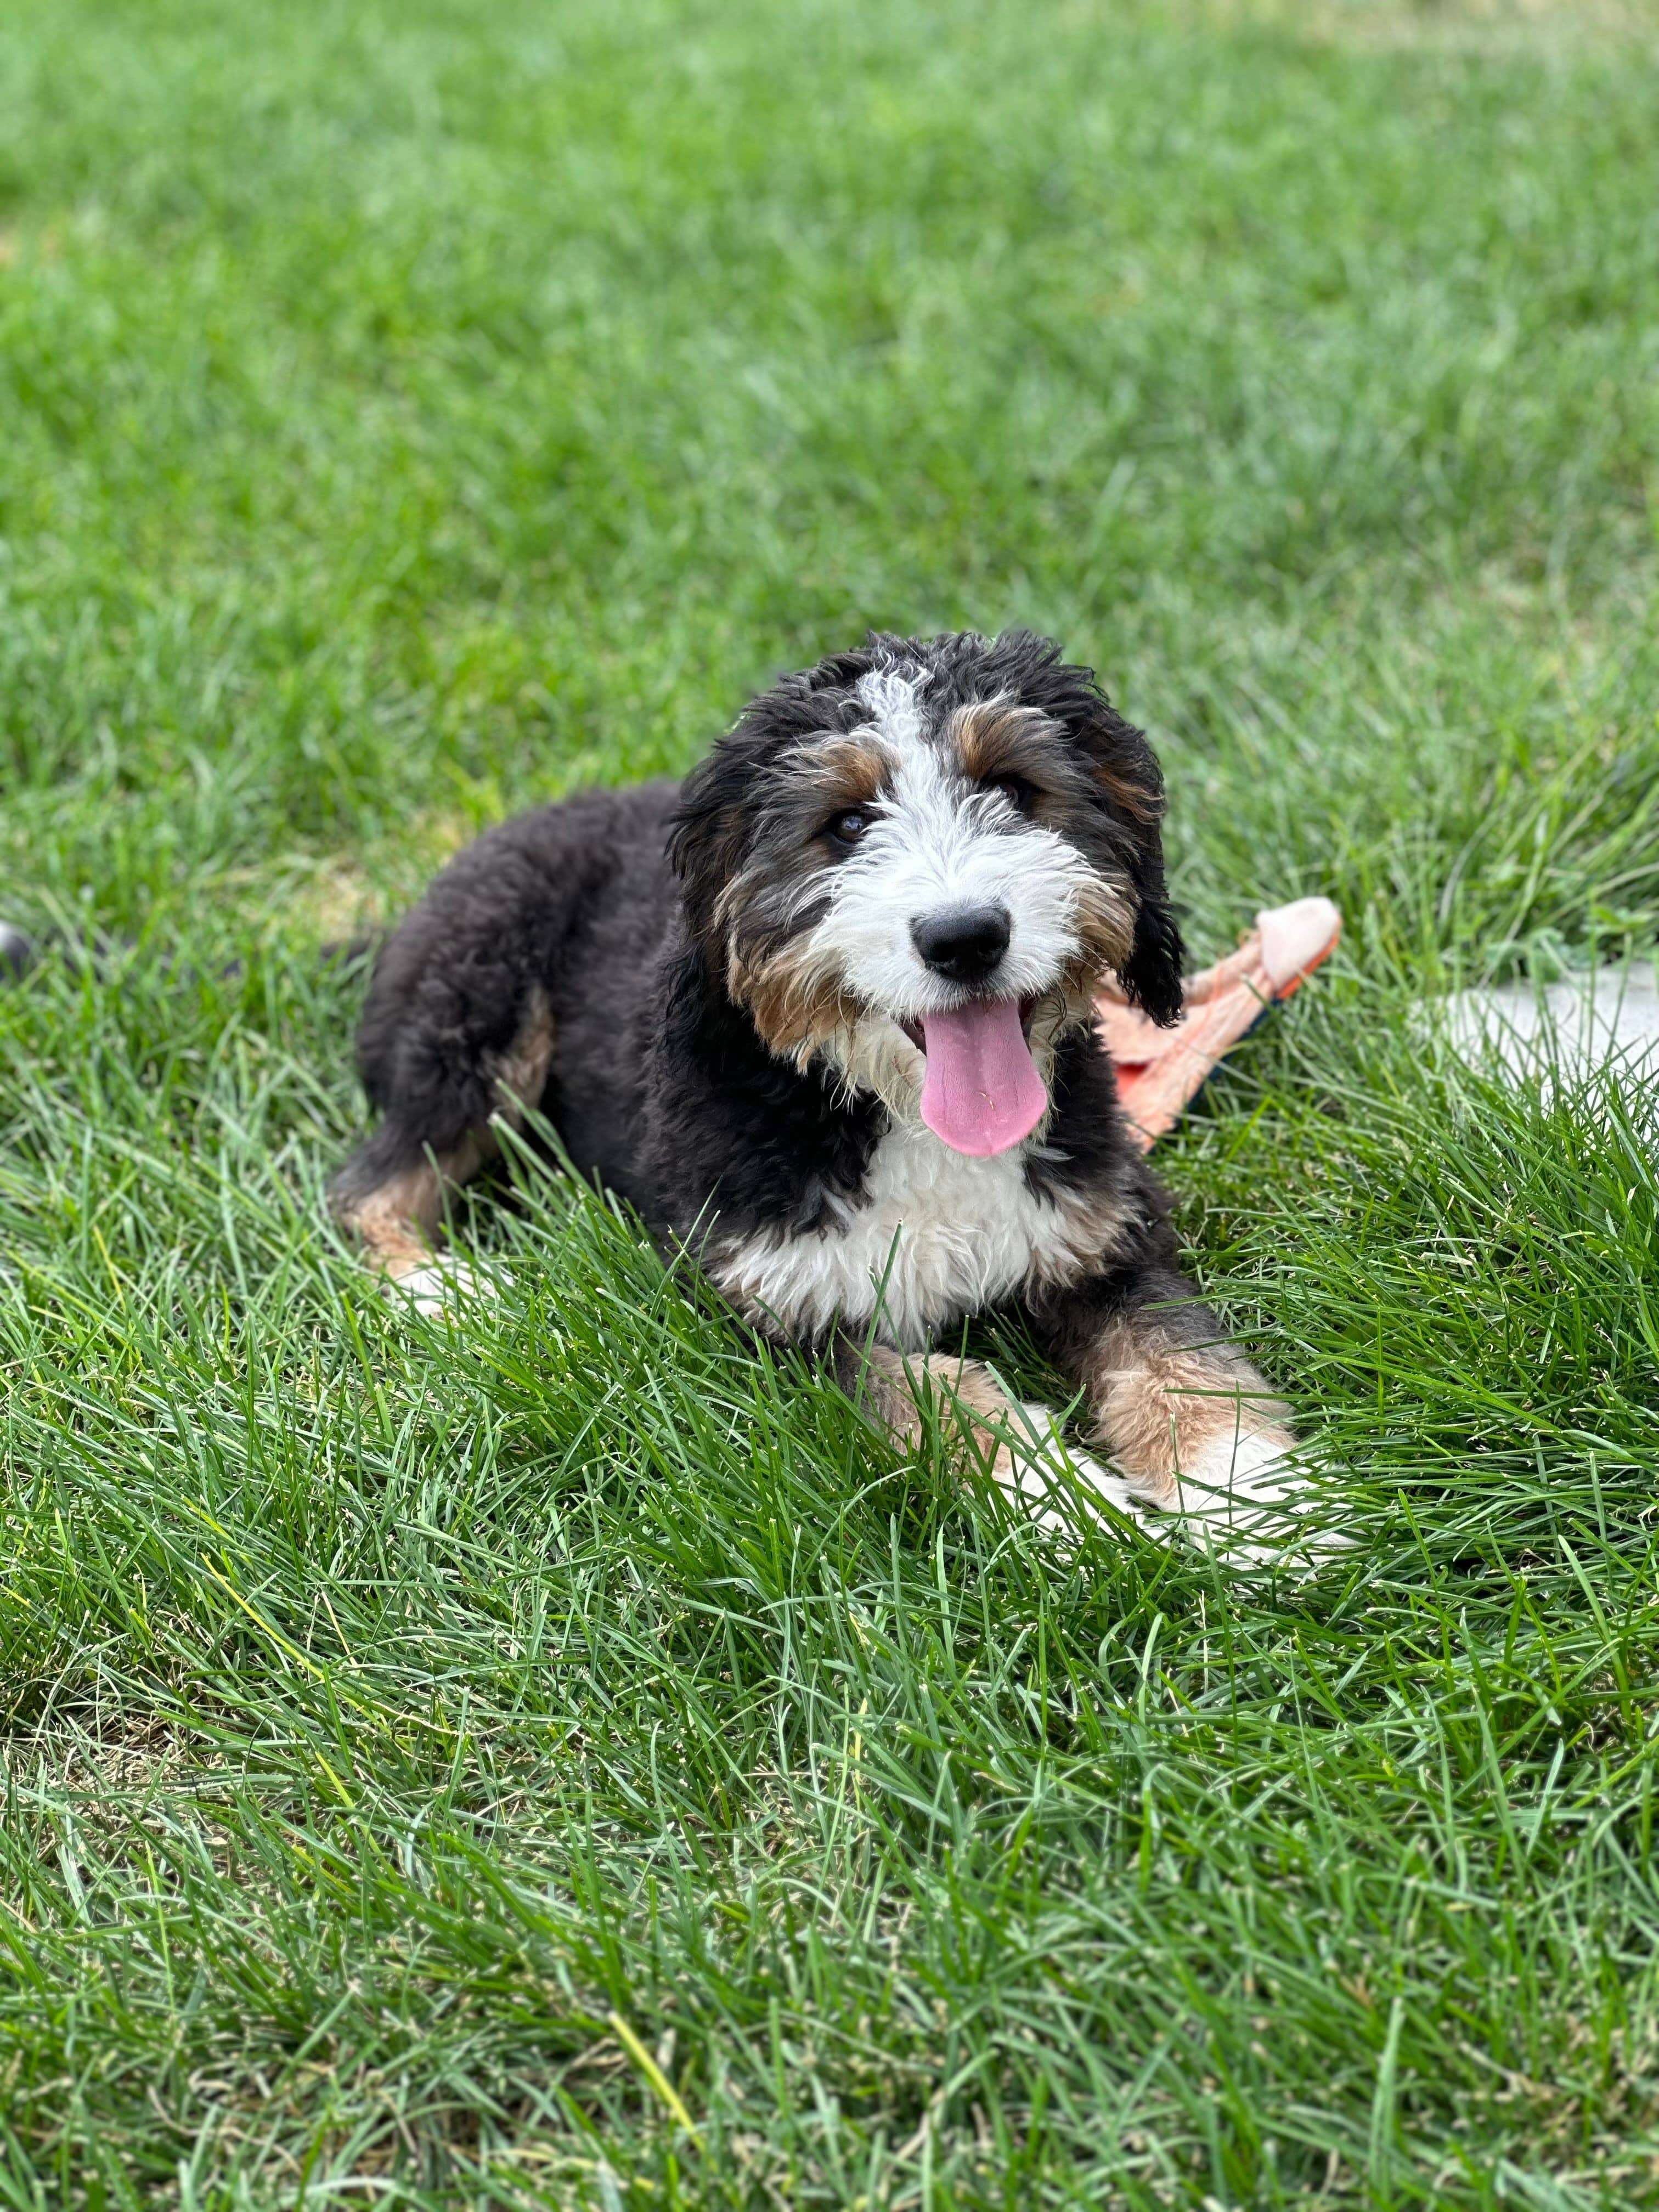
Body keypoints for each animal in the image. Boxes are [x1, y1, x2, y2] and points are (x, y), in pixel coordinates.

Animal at [327, 633, 1309, 1548]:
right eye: (846, 824)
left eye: (1014, 788)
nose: (965, 937)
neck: (898, 1115)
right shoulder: (782, 1311)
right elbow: (941, 1401)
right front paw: (1073, 1516)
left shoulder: (1104, 1232)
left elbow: (1181, 1358)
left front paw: (1258, 1507)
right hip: (477, 1010)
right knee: (369, 1185)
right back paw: (444, 1289)